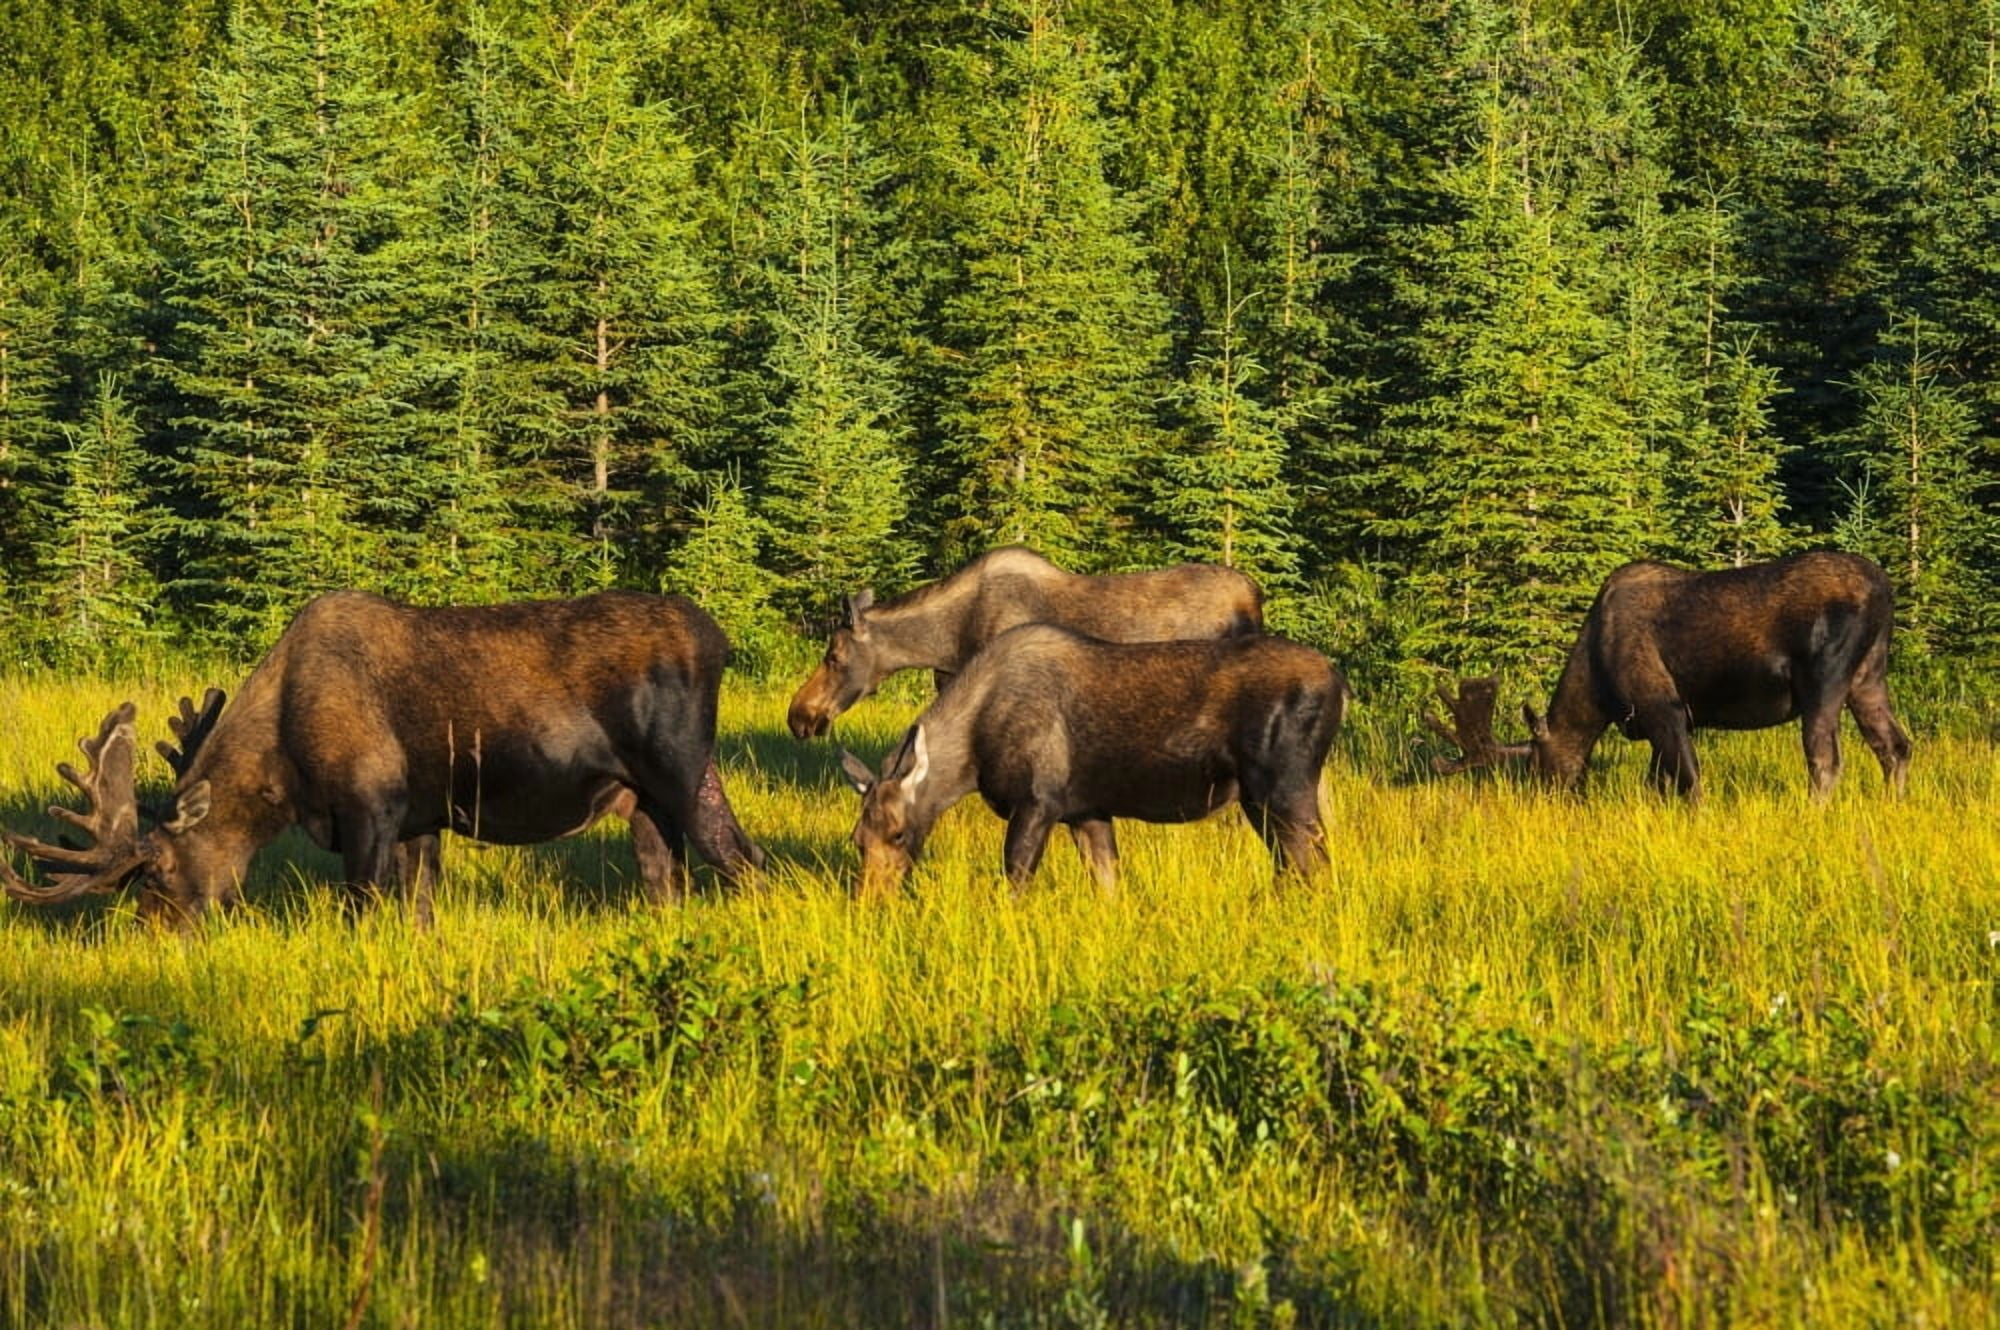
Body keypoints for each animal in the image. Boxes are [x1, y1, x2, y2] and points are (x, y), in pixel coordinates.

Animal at [0, 590, 765, 925]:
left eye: (157, 872)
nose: (151, 934)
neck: (283, 778)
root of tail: (721, 640)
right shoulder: (420, 819)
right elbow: (416, 912)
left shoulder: (372, 805)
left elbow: (361, 909)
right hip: (646, 799)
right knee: (668, 878)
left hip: (683, 768)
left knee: (745, 859)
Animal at [837, 625, 1347, 896]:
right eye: (857, 839)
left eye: (898, 833)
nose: (871, 902)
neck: (971, 758)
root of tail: (1341, 683)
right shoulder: (1088, 811)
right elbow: (1108, 886)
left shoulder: (1038, 802)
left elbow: (1014, 883)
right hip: (1263, 799)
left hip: (1284, 787)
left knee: (1315, 864)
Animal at [1425, 552, 1911, 800]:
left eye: (1537, 767)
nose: (1543, 801)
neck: (1598, 686)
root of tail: (1885, 589)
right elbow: (1657, 785)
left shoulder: (1664, 707)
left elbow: (1689, 782)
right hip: (1868, 676)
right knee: (1895, 745)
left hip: (1824, 677)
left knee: (1825, 758)